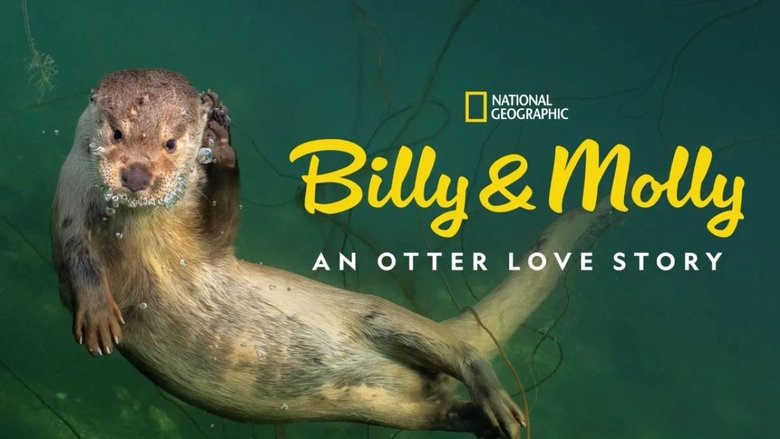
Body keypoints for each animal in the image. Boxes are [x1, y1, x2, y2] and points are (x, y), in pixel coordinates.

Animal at [51, 69, 605, 438]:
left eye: (171, 143)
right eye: (117, 132)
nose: (137, 174)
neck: (145, 239)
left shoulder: (206, 247)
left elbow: (223, 227)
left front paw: (223, 144)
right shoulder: (67, 212)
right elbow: (77, 262)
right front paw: (98, 316)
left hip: (380, 317)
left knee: (457, 351)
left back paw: (498, 403)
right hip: (393, 407)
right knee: (435, 406)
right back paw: (480, 419)